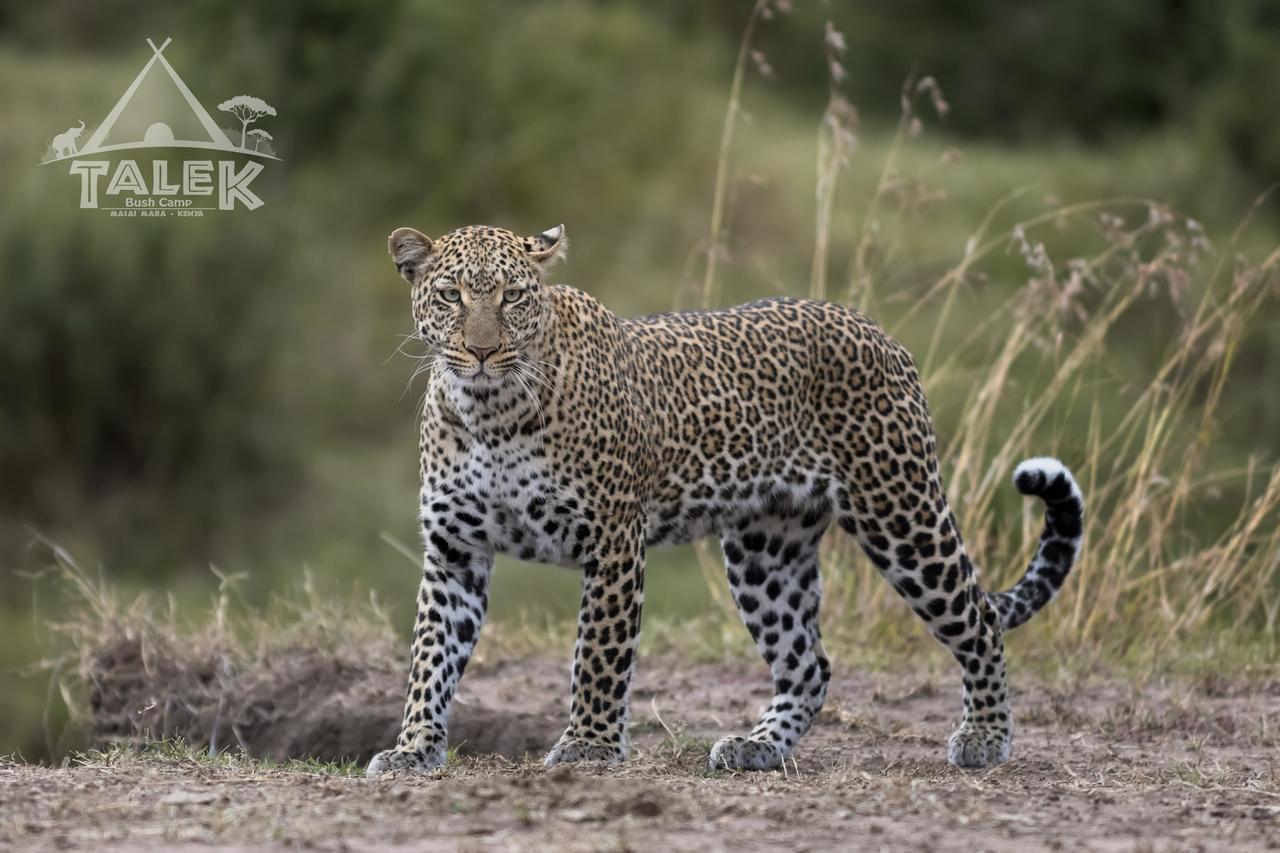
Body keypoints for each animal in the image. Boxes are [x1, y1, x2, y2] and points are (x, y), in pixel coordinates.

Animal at [366, 222, 1085, 773]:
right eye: (450, 296)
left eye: (513, 296)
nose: (483, 350)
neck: (488, 411)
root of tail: (878, 331)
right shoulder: (455, 550)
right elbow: (430, 657)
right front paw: (413, 748)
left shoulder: (613, 540)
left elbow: (598, 655)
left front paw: (589, 746)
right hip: (767, 552)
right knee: (808, 662)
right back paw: (757, 747)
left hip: (900, 510)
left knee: (979, 617)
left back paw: (985, 736)